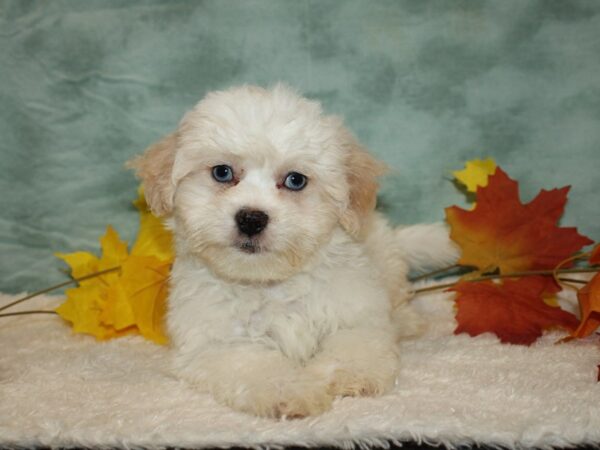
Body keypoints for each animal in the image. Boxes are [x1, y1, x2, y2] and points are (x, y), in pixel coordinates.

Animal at [132, 84, 460, 418]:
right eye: (222, 172)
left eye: (295, 180)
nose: (251, 218)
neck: (271, 285)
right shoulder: (216, 343)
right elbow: (256, 365)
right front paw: (291, 390)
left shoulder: (354, 313)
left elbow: (355, 342)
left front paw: (350, 374)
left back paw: (405, 320)